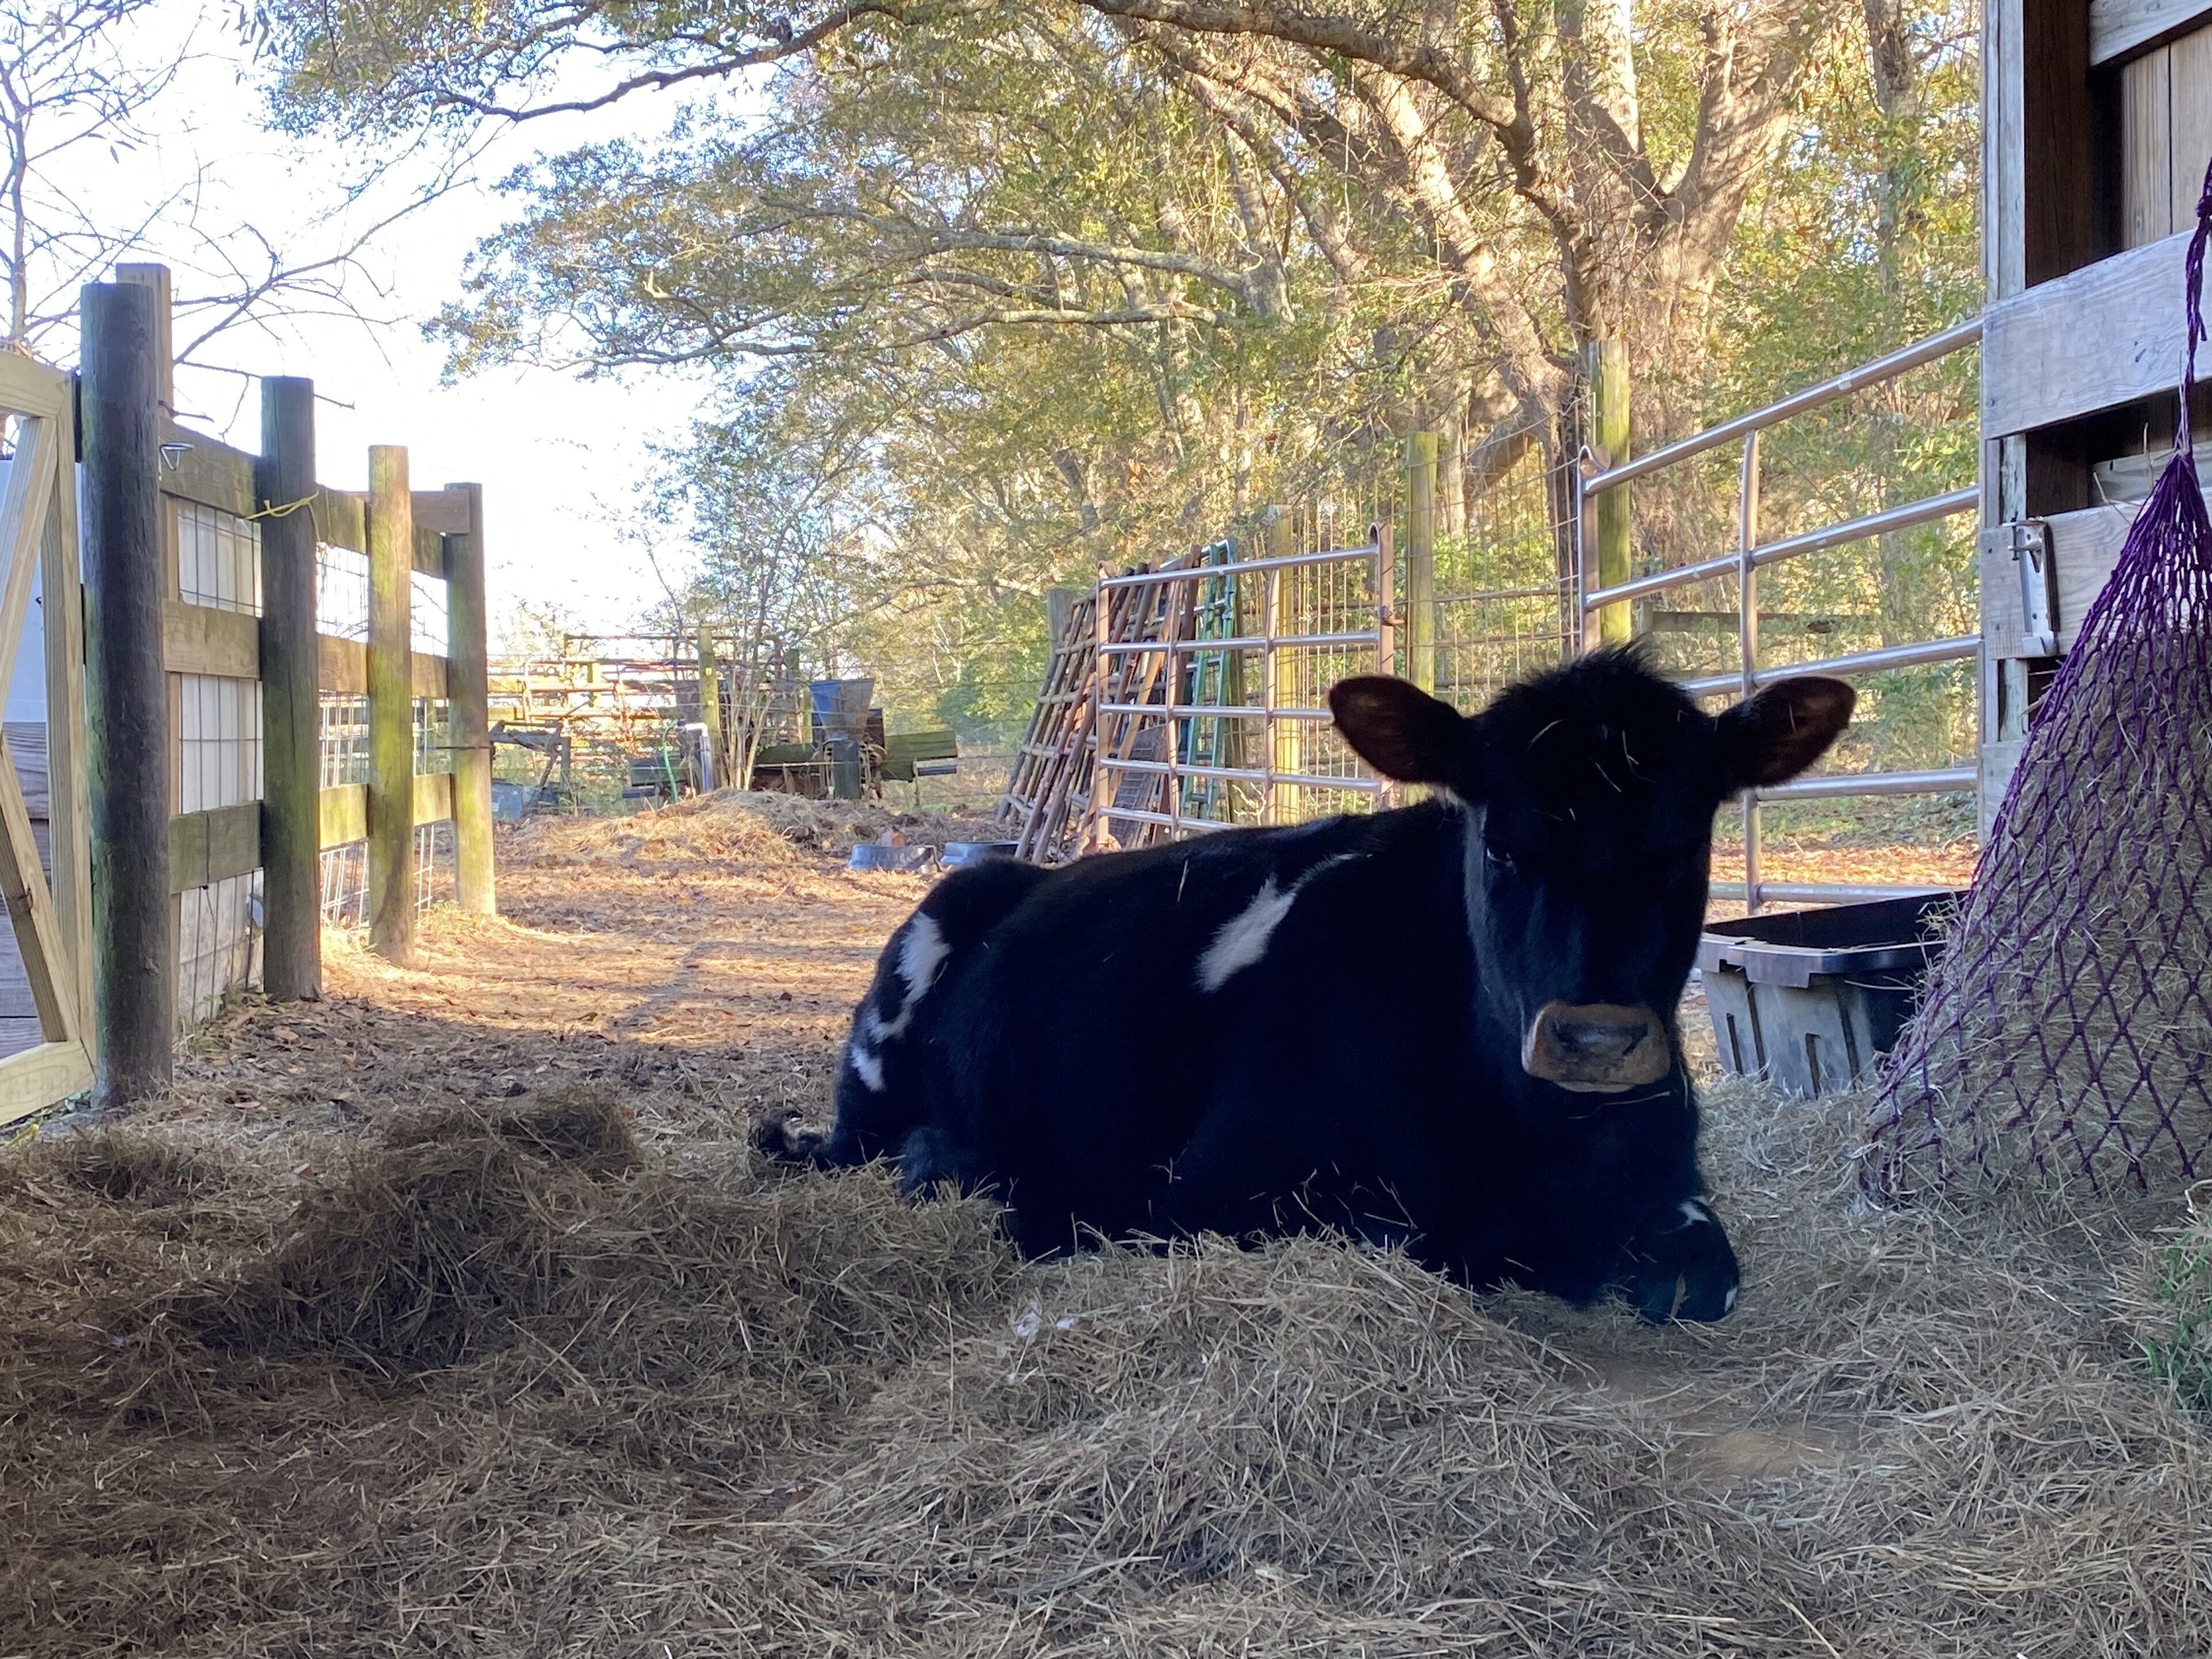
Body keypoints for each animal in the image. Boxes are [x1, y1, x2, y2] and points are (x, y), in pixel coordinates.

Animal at [760, 649, 1855, 1322]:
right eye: (1499, 841)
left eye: (1687, 843)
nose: (1595, 1039)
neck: (1544, 1148)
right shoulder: (1210, 1190)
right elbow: (1410, 1241)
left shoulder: (1673, 1179)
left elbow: (1704, 1274)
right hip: (877, 1072)